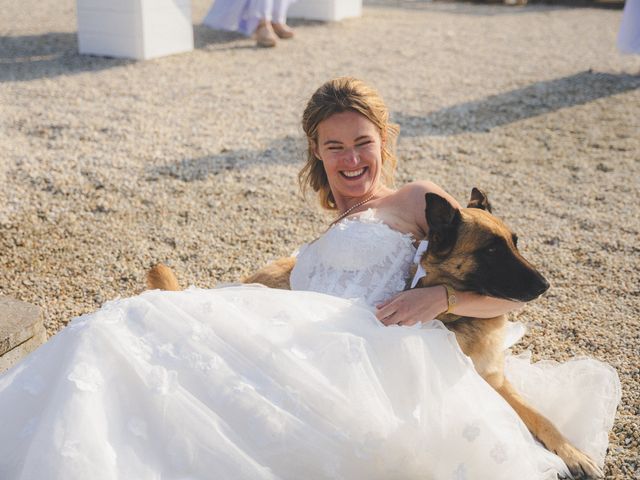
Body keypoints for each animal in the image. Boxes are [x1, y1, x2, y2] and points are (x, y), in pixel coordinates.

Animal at [148, 188, 604, 480]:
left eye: (515, 242)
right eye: (491, 250)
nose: (545, 285)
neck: (454, 316)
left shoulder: (495, 380)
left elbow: (542, 417)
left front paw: (574, 453)